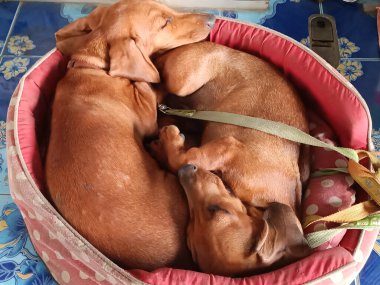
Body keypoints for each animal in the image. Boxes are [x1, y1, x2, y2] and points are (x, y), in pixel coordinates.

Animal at [151, 41, 312, 274]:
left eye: (216, 210)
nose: (186, 173)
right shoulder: (230, 145)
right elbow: (185, 158)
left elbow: (183, 159)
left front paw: (166, 145)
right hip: (182, 79)